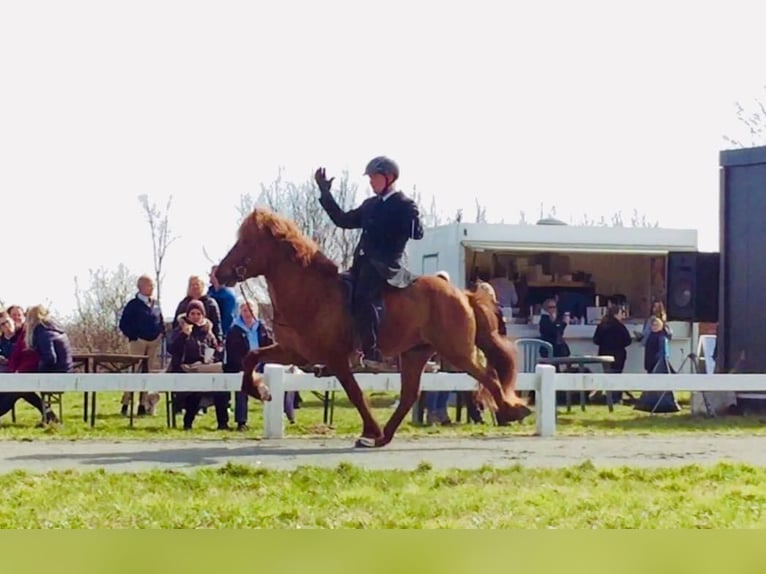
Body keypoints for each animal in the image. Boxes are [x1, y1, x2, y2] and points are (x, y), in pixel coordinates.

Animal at [214, 207, 532, 448]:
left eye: (247, 242)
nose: (219, 272)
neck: (312, 293)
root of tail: (462, 293)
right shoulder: (294, 353)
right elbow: (250, 357)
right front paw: (261, 391)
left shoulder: (336, 359)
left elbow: (355, 393)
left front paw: (370, 430)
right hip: (416, 353)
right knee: (410, 395)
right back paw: (386, 437)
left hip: (456, 352)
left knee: (488, 378)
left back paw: (511, 410)